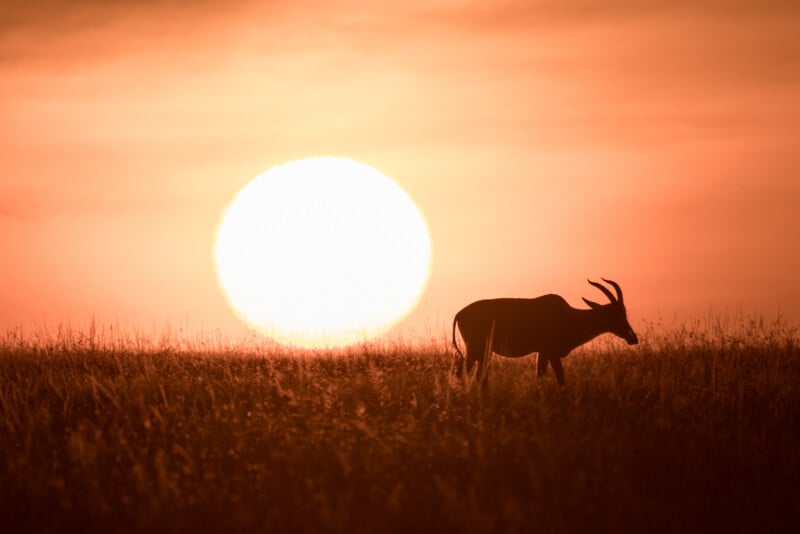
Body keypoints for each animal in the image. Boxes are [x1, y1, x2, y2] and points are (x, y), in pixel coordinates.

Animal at [454, 280, 640, 386]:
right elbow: (560, 379)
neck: (569, 315)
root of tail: (459, 313)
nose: (633, 338)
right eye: (614, 314)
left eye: (624, 312)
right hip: (475, 351)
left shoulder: (543, 354)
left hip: (483, 353)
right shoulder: (551, 353)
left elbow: (541, 377)